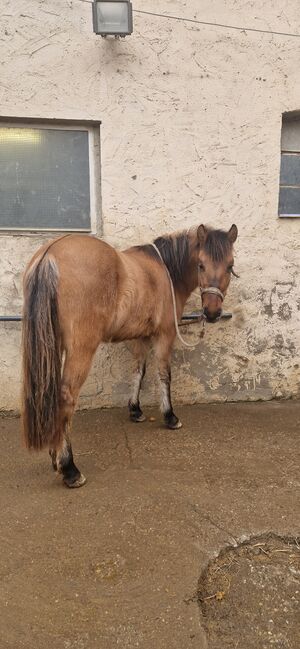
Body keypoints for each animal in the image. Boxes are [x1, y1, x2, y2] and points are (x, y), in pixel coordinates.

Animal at [21, 223, 238, 486]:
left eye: (230, 266)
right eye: (201, 265)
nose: (212, 312)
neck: (166, 271)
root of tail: (50, 254)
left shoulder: (141, 337)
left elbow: (138, 372)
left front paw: (135, 410)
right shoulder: (165, 335)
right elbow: (164, 374)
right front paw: (170, 416)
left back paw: (55, 456)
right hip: (81, 348)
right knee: (66, 397)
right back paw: (70, 468)